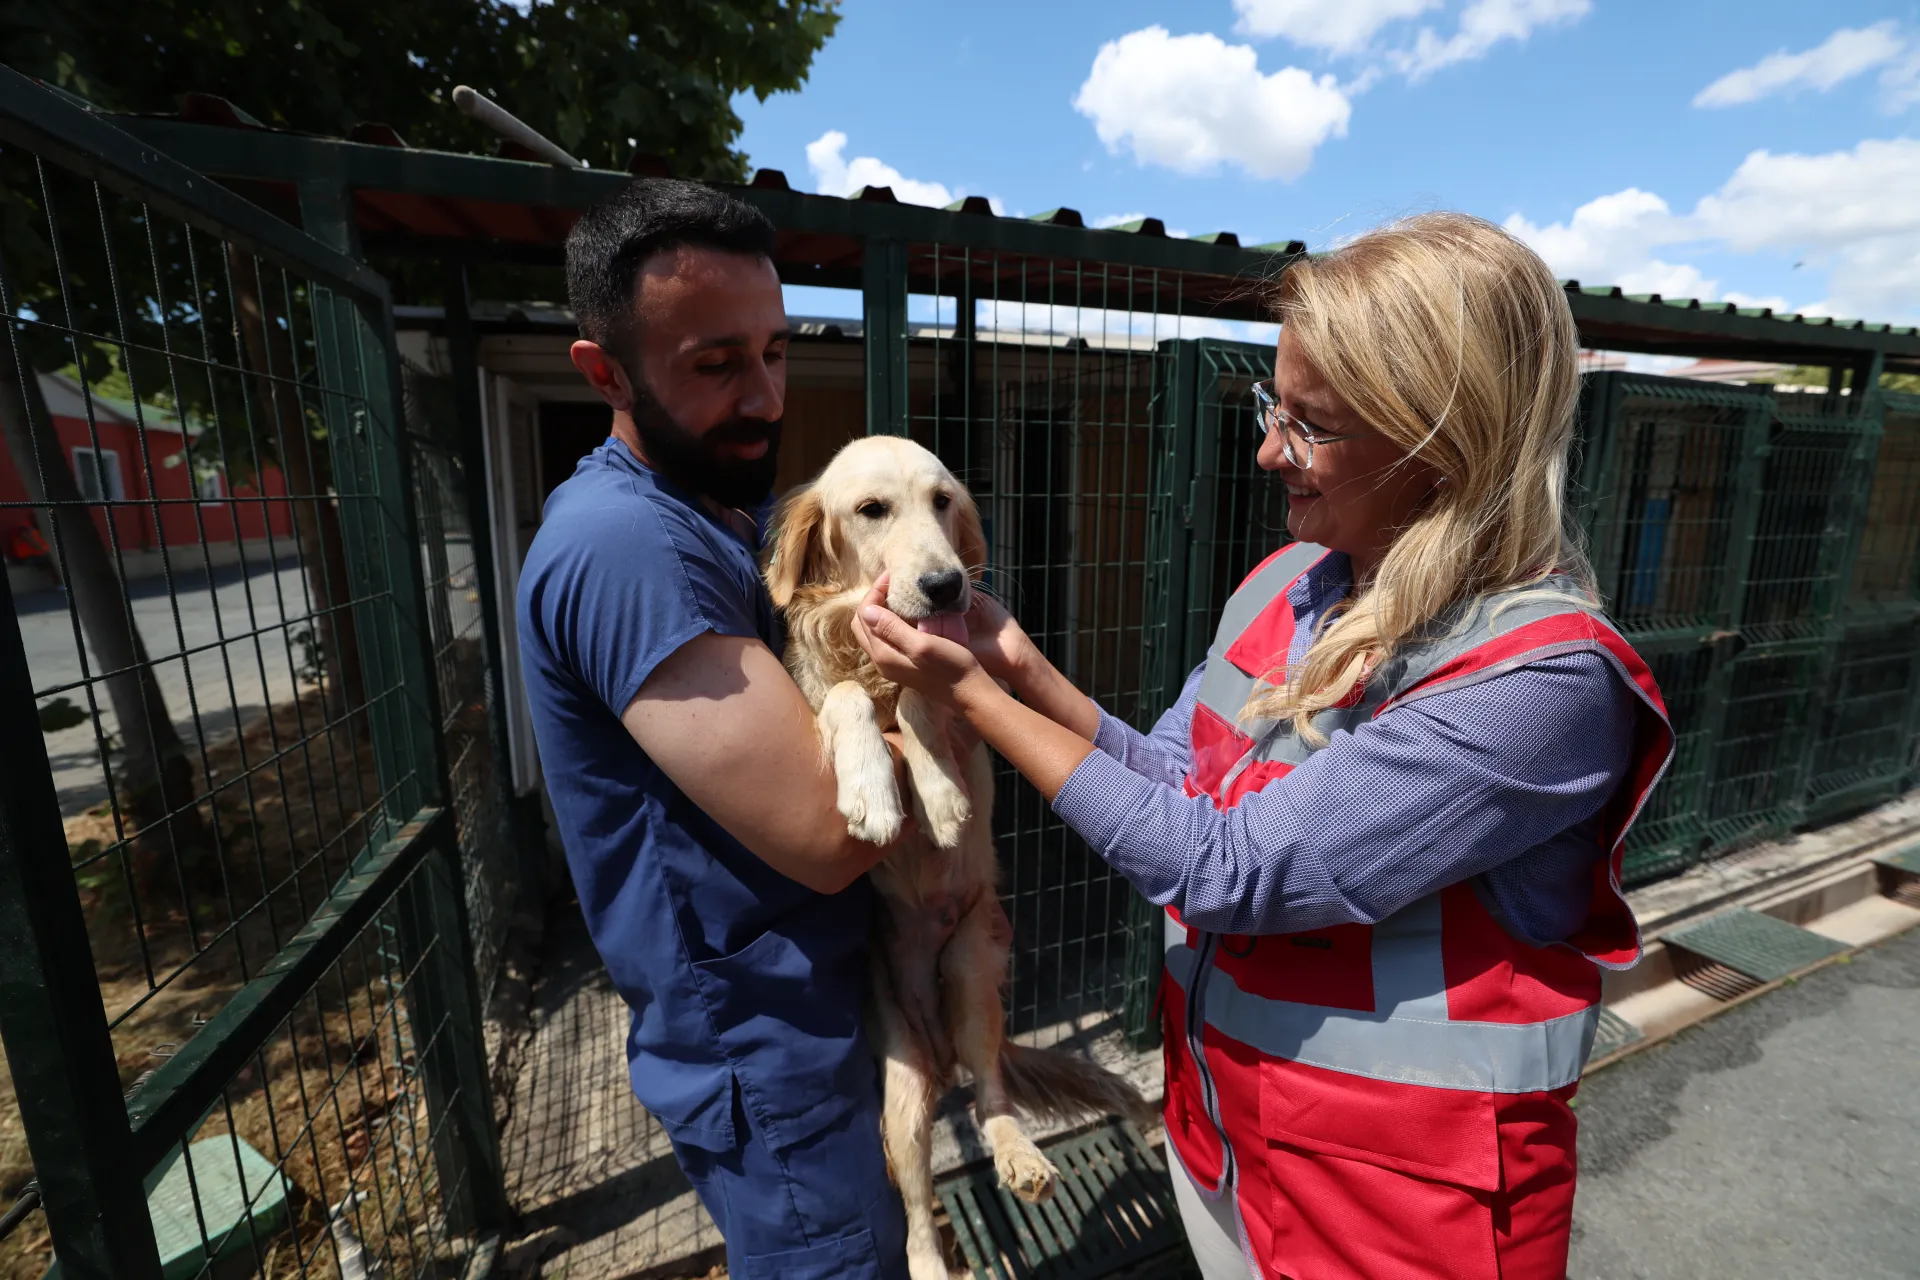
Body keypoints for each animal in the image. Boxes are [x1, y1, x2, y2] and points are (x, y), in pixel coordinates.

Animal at [764, 435, 1144, 1274]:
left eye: (943, 502)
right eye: (872, 509)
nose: (943, 586)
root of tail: (937, 1048)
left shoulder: (950, 689)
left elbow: (924, 698)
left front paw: (937, 798)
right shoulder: (815, 701)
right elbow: (847, 701)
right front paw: (875, 792)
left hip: (974, 973)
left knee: (992, 1087)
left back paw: (1019, 1155)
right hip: (902, 1094)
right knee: (913, 1210)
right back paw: (933, 1259)